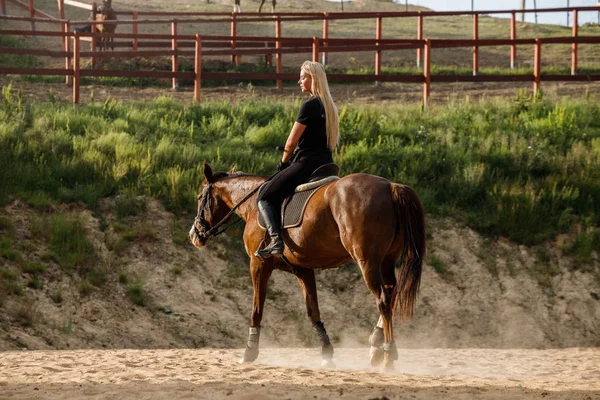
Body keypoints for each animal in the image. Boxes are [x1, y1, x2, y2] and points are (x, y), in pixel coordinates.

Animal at [190, 164, 424, 370]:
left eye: (200, 198)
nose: (194, 234)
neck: (252, 206)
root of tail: (390, 186)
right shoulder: (302, 269)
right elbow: (313, 311)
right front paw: (327, 355)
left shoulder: (258, 264)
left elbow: (257, 310)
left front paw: (249, 352)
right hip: (386, 261)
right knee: (391, 295)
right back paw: (376, 347)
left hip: (367, 261)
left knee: (383, 300)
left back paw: (388, 356)